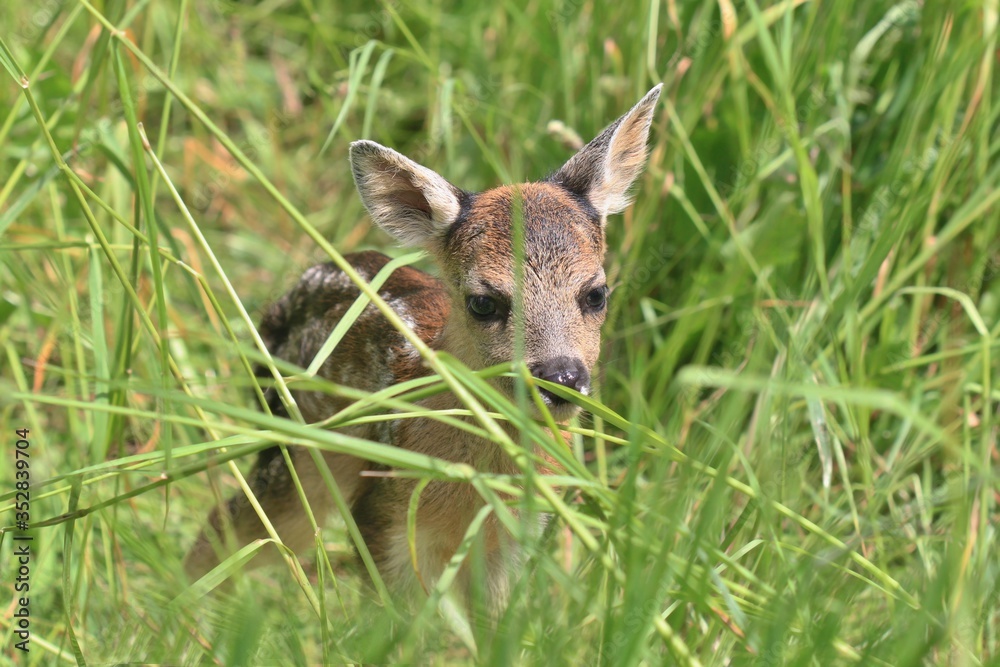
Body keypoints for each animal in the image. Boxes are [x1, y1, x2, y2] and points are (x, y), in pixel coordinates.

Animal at [185, 84, 662, 612]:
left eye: (596, 293)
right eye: (483, 302)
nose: (560, 378)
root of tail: (281, 305)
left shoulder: (517, 538)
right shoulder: (383, 515)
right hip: (299, 454)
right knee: (228, 529)